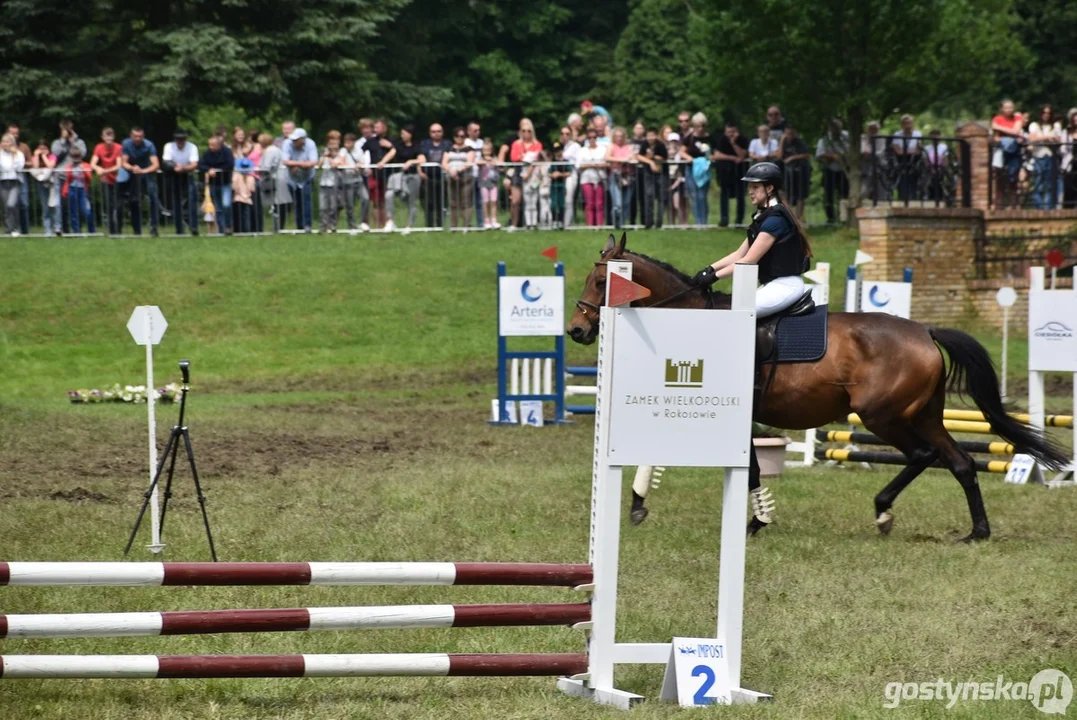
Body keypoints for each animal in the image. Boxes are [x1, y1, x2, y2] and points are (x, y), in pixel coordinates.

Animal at [564, 233, 1068, 542]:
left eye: (601, 279)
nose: (576, 331)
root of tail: (924, 330)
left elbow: (751, 470)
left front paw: (756, 521)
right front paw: (638, 506)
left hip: (881, 415)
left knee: (925, 455)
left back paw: (884, 510)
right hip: (925, 415)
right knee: (960, 463)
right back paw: (976, 532)